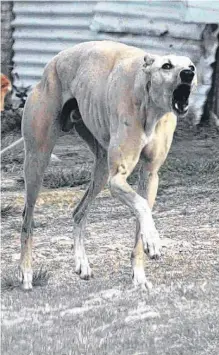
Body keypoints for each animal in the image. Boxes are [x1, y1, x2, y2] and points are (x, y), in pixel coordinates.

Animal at [18, 40, 197, 290]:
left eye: (191, 66)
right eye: (167, 66)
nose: (188, 74)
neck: (150, 107)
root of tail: (51, 64)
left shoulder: (150, 175)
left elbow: (141, 218)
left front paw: (139, 274)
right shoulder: (117, 178)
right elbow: (142, 205)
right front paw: (153, 239)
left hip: (101, 170)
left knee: (78, 212)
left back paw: (81, 263)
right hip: (38, 160)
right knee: (28, 218)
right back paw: (25, 272)